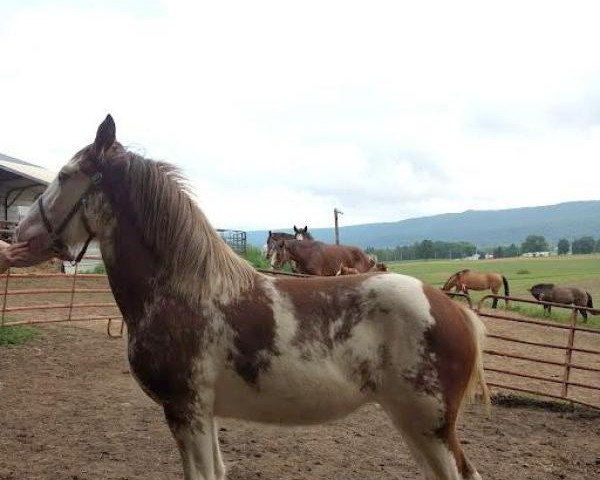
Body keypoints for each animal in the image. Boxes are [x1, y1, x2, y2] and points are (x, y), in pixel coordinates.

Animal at [11, 116, 490, 480]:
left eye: (64, 176)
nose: (19, 234)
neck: (183, 289)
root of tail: (453, 311)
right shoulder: (203, 413)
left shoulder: (185, 409)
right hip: (411, 422)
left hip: (431, 424)